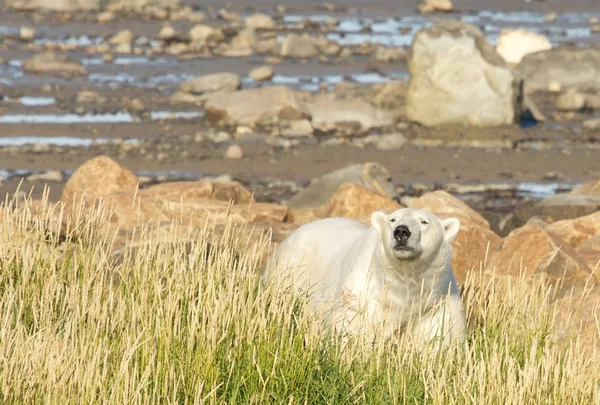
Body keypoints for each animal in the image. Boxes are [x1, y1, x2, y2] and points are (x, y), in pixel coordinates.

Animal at [264, 208, 466, 344]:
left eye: (424, 222)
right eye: (392, 219)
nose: (401, 231)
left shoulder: (436, 304)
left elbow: (438, 339)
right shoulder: (362, 298)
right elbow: (352, 333)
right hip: (288, 275)